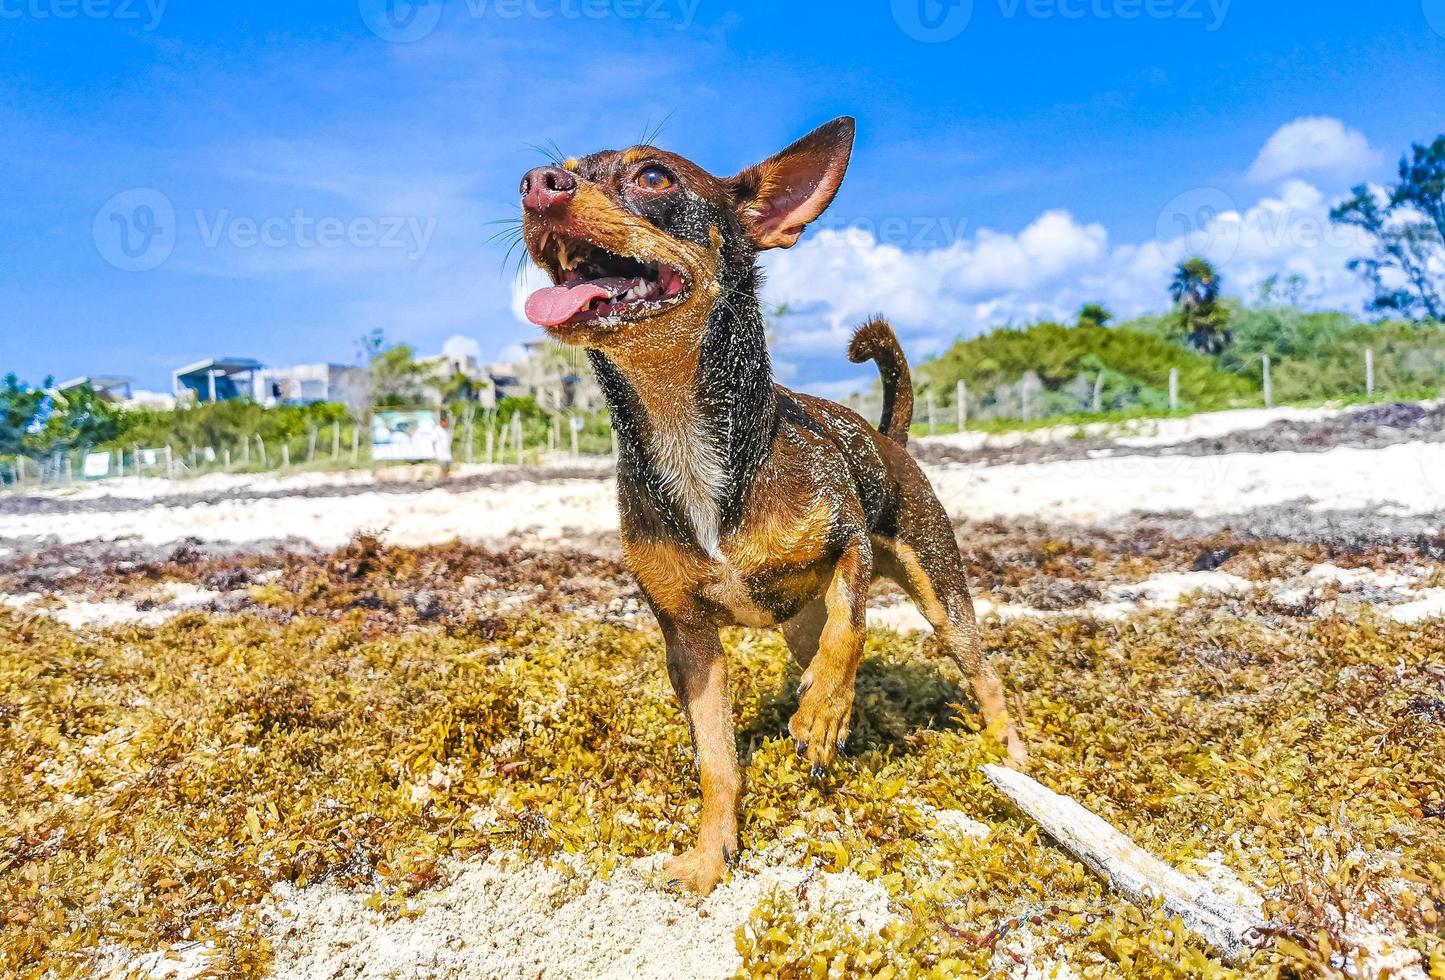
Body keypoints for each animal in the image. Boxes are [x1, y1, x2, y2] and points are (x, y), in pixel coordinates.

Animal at [517, 117, 1017, 896]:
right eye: (556, 168)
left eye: (653, 176)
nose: (536, 185)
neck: (687, 433)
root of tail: (887, 437)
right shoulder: (688, 641)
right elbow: (716, 760)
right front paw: (712, 851)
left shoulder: (849, 540)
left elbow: (853, 629)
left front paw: (819, 713)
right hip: (798, 623)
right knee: (825, 645)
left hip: (941, 592)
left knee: (976, 670)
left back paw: (1009, 756)